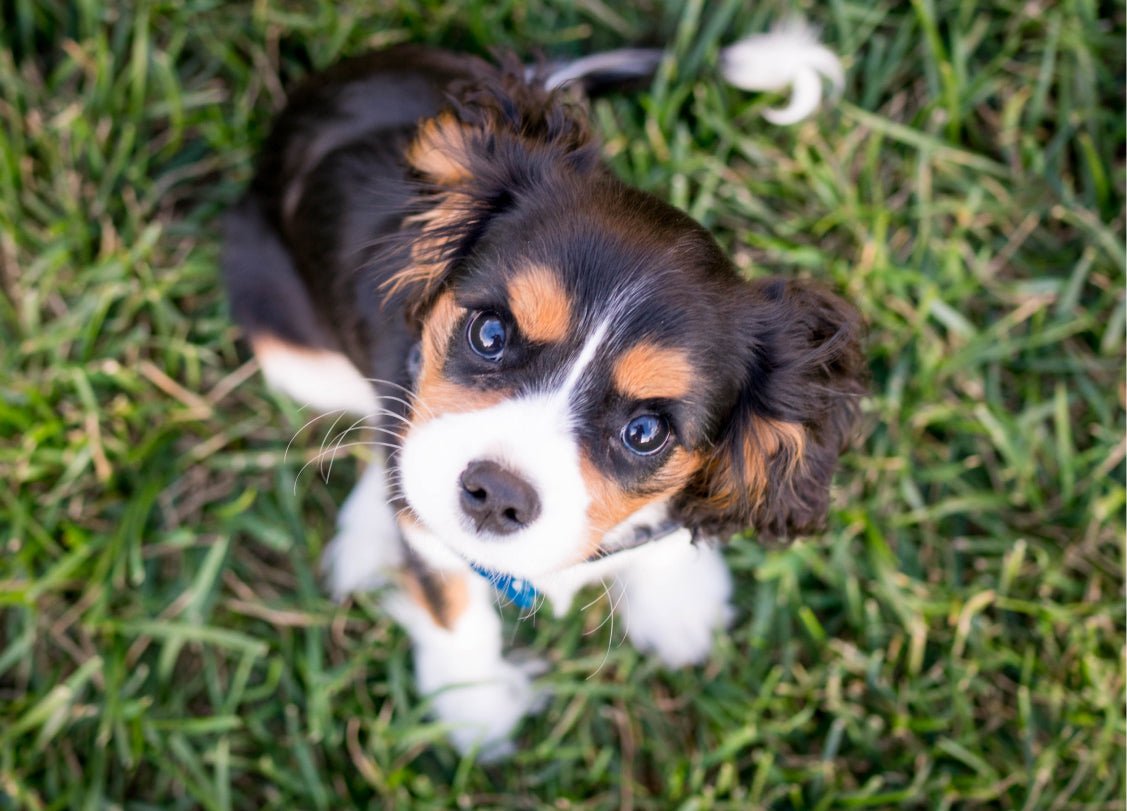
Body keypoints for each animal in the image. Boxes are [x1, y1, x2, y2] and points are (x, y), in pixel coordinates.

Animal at [224, 25, 865, 761]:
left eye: (645, 432)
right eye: (491, 333)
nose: (496, 494)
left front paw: (677, 601)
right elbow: (450, 601)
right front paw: (473, 710)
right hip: (287, 341)